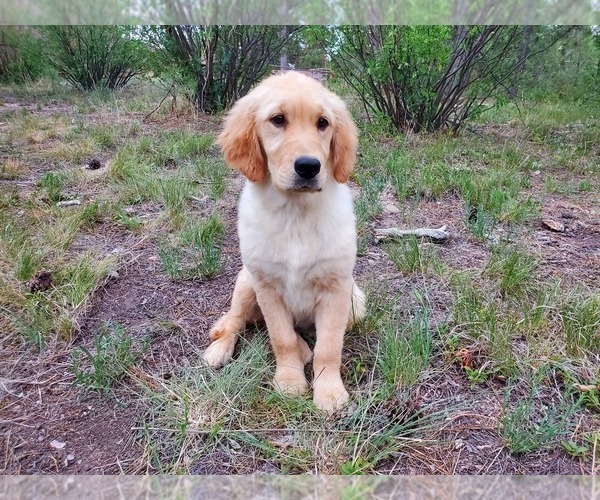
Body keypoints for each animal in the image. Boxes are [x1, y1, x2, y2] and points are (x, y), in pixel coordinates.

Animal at [204, 71, 366, 414]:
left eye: (323, 123)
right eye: (277, 120)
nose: (308, 166)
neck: (296, 213)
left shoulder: (337, 288)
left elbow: (329, 346)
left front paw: (329, 392)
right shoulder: (267, 287)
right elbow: (281, 338)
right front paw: (290, 382)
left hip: (356, 302)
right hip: (246, 281)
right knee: (236, 320)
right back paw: (219, 350)